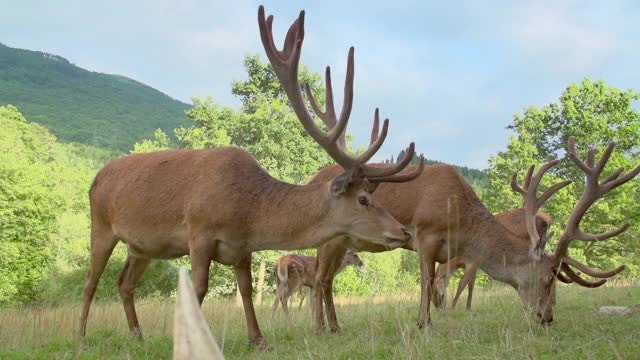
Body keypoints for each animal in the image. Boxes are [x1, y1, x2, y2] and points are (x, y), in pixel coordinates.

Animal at [77, 6, 422, 348]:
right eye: (363, 199)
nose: (404, 231)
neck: (247, 211)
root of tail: (95, 178)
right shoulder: (199, 233)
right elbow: (199, 289)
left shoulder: (242, 248)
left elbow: (246, 289)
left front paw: (258, 339)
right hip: (101, 225)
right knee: (91, 280)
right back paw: (80, 335)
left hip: (142, 247)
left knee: (124, 283)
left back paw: (137, 335)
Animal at [306, 137, 636, 332]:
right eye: (547, 279)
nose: (548, 317)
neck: (462, 224)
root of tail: (312, 177)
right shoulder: (425, 233)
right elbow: (427, 281)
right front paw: (424, 323)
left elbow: (441, 283)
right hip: (332, 239)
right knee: (321, 278)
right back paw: (325, 327)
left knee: (324, 278)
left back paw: (328, 325)